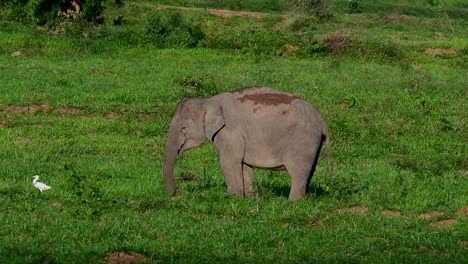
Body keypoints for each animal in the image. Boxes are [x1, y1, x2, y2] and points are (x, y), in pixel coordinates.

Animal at [163, 86, 330, 200]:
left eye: (183, 128)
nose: (176, 193)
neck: (209, 100)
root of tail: (322, 120)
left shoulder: (231, 132)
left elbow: (228, 161)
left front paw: (234, 197)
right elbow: (244, 164)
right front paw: (249, 197)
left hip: (303, 142)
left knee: (298, 172)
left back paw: (293, 202)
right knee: (309, 172)